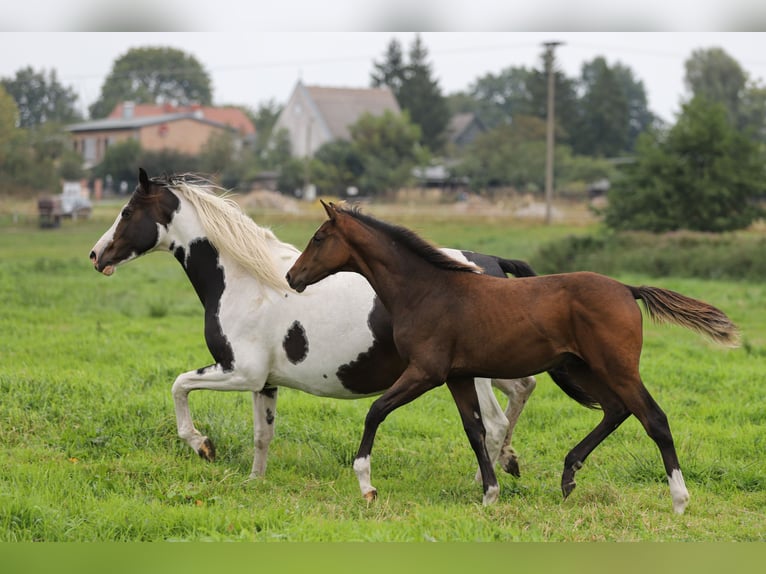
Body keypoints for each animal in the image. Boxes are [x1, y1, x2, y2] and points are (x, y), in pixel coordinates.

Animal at [91, 170, 544, 486]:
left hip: (472, 376)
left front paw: (202, 445)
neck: (247, 282)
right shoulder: (263, 382)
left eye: (126, 212)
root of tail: (490, 263)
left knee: (494, 423)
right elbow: (262, 435)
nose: (97, 255)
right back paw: (506, 464)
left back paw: (482, 480)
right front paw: (253, 482)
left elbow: (179, 385)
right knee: (521, 392)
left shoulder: (239, 372)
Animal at [284, 201, 740, 512]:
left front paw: (366, 484)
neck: (427, 290)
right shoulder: (457, 376)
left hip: (617, 366)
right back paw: (568, 475)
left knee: (654, 419)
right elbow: (475, 430)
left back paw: (679, 499)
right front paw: (490, 493)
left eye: (319, 238)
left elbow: (376, 411)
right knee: (616, 410)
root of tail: (628, 289)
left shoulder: (426, 372)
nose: (293, 277)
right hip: (583, 368)